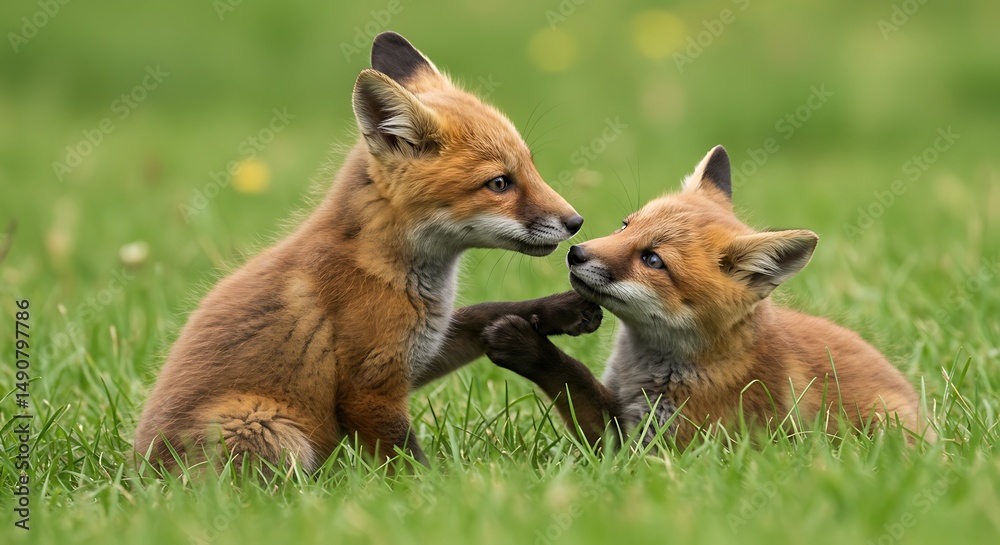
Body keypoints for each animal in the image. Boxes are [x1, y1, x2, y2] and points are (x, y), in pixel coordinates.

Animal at [134, 32, 600, 472]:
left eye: (530, 168)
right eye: (500, 183)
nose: (576, 222)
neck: (386, 269)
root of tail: (138, 471)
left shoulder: (419, 352)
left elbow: (486, 312)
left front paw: (562, 309)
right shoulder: (369, 386)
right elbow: (407, 461)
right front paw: (438, 489)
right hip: (265, 426)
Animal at [482, 145, 933, 449]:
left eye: (653, 260)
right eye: (626, 225)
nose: (575, 253)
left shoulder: (657, 447)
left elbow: (571, 377)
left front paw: (524, 345)